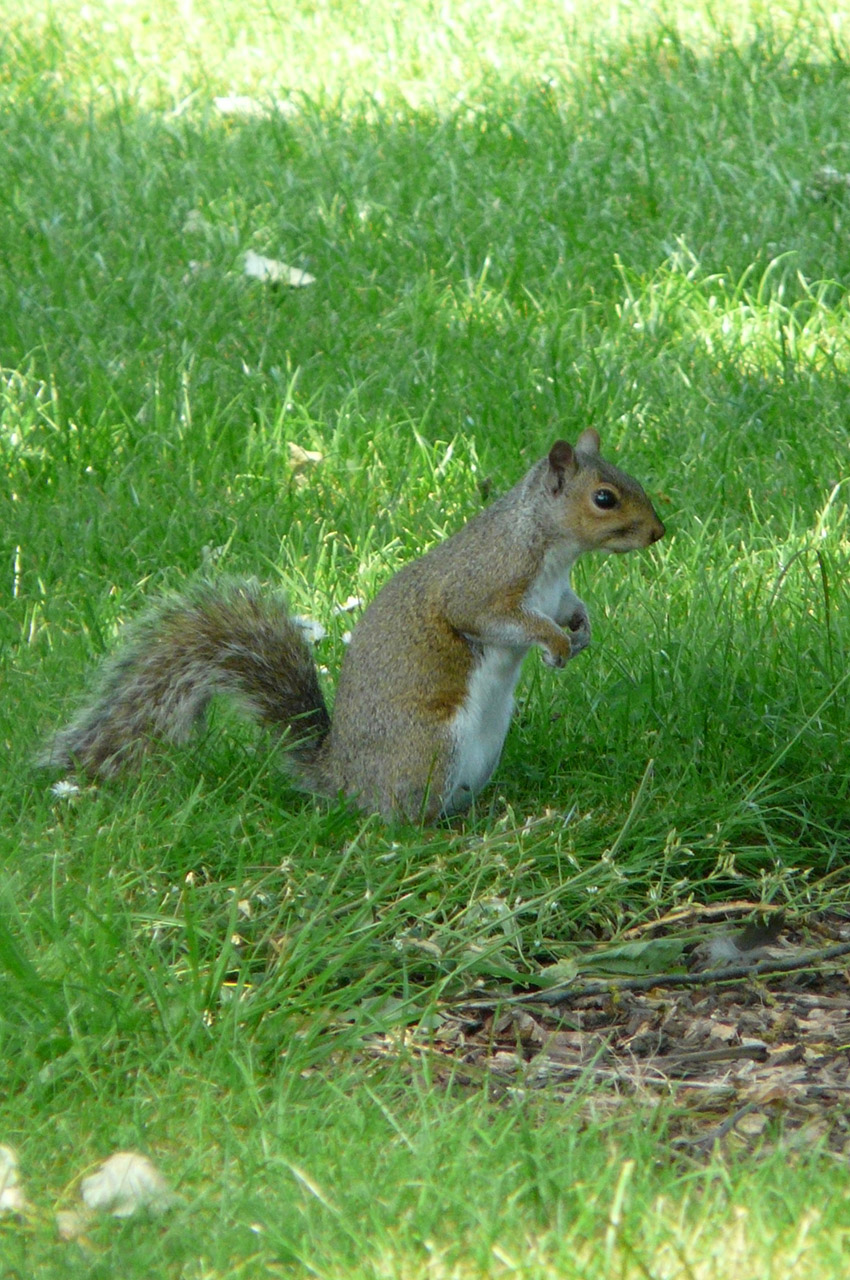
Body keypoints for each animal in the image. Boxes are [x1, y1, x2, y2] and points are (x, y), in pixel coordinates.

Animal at [41, 430, 665, 824]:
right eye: (604, 498)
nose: (659, 532)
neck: (552, 549)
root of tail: (341, 777)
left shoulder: (557, 591)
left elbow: (570, 608)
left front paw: (581, 631)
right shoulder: (483, 586)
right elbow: (492, 620)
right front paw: (556, 644)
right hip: (430, 748)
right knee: (401, 818)